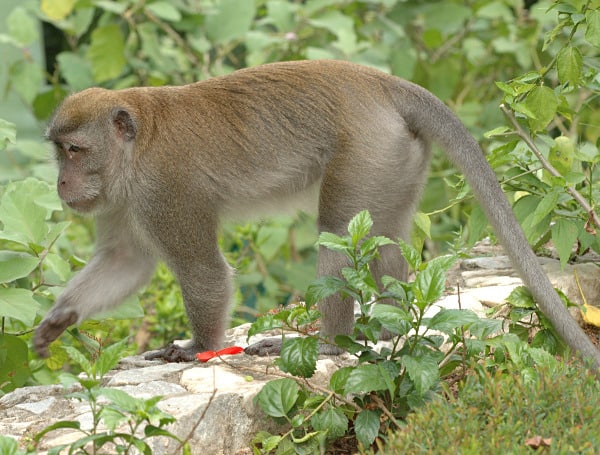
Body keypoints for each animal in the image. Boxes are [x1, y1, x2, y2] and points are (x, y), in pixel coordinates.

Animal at [31, 58, 600, 368]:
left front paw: (198, 347)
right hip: (396, 157)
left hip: (367, 148)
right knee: (383, 238)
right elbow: (125, 261)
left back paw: (328, 345)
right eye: (60, 152)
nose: (62, 184)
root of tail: (381, 84)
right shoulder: (122, 198)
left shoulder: (163, 189)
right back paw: (388, 332)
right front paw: (58, 319)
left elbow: (203, 271)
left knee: (337, 235)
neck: (134, 149)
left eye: (76, 151)